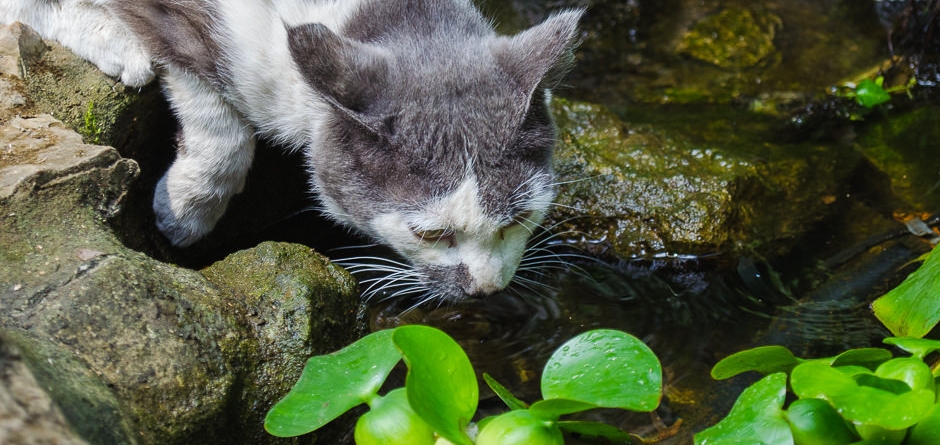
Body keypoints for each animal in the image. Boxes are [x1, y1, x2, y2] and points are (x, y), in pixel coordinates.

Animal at [1, 0, 580, 302]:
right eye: (431, 234)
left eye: (517, 219)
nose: (486, 289)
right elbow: (220, 122)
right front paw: (186, 212)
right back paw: (117, 44)